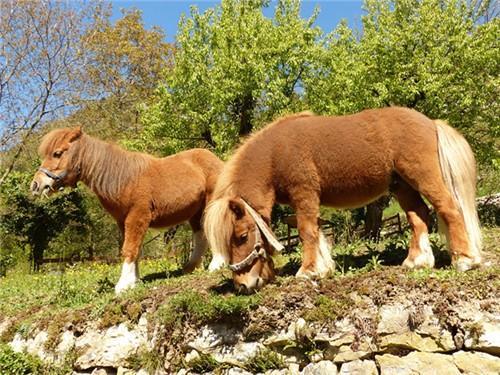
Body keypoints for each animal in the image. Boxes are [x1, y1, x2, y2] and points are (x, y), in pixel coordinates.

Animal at [32, 128, 224, 296]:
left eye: (57, 153)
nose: (36, 185)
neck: (124, 179)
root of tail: (215, 160)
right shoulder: (123, 221)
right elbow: (134, 249)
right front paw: (134, 281)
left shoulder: (137, 217)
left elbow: (129, 248)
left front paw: (123, 285)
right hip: (195, 212)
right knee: (200, 235)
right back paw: (191, 267)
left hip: (210, 203)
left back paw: (216, 265)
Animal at [203, 107, 480, 292]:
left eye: (241, 237)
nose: (242, 286)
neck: (275, 154)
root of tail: (430, 122)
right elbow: (316, 231)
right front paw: (324, 267)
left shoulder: (304, 193)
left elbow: (306, 231)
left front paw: (308, 271)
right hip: (402, 186)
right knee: (419, 216)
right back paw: (416, 261)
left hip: (423, 177)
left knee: (449, 209)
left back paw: (465, 260)